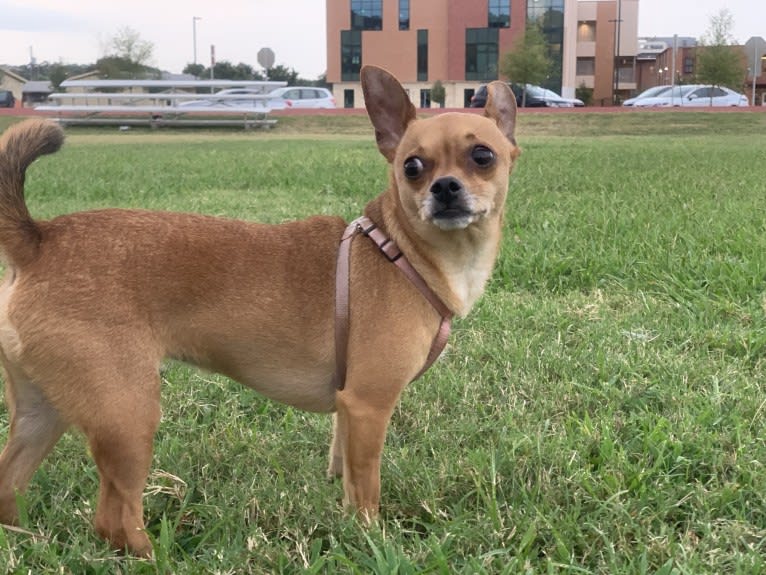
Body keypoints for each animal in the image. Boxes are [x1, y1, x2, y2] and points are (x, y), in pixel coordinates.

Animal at [0, 65, 520, 556]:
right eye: (412, 166)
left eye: (483, 156)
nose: (444, 187)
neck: (401, 250)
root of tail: (41, 239)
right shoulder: (369, 406)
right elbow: (367, 487)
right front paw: (373, 538)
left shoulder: (348, 411)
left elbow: (346, 474)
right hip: (126, 415)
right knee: (114, 518)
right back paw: (153, 555)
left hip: (43, 412)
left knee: (9, 484)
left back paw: (24, 539)